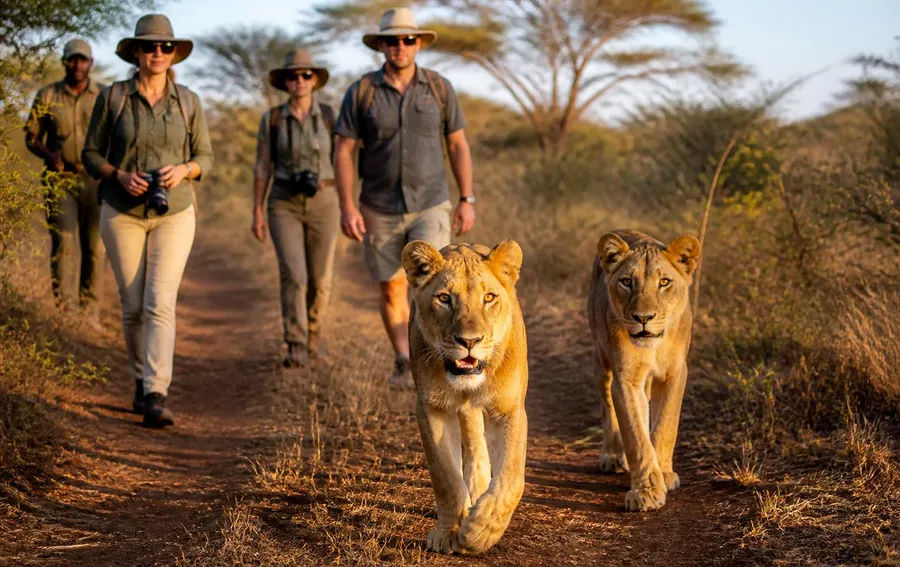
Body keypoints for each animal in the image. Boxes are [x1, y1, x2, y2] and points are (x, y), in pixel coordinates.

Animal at [401, 240, 528, 555]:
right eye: (445, 298)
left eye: (489, 297)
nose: (469, 341)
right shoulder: (431, 408)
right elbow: (445, 475)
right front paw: (449, 532)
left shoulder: (510, 410)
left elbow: (511, 477)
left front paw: (480, 531)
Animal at [588, 230, 701, 512]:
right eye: (627, 282)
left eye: (664, 282)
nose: (643, 318)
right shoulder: (626, 381)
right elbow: (636, 437)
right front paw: (646, 491)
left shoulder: (675, 374)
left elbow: (665, 426)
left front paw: (664, 474)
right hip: (601, 360)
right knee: (607, 406)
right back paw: (612, 456)